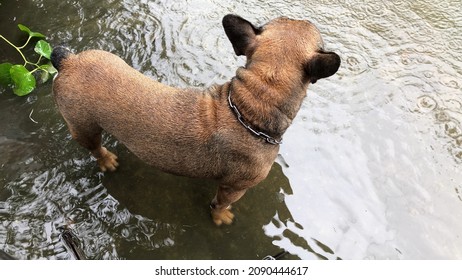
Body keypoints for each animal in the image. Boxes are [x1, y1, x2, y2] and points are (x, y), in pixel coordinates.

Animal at [51, 14, 340, 225]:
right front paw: (220, 217)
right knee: (94, 147)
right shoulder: (234, 187)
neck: (251, 105)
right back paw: (107, 160)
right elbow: (220, 202)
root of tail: (69, 62)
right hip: (83, 126)